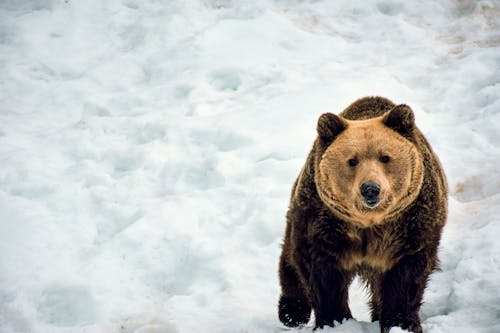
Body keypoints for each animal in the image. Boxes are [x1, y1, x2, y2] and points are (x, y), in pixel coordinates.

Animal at [278, 96, 450, 332]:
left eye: (385, 157)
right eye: (352, 160)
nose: (370, 188)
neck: (370, 222)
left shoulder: (411, 224)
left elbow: (407, 275)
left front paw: (401, 322)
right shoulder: (325, 223)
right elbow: (321, 271)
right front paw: (334, 320)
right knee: (290, 259)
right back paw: (291, 311)